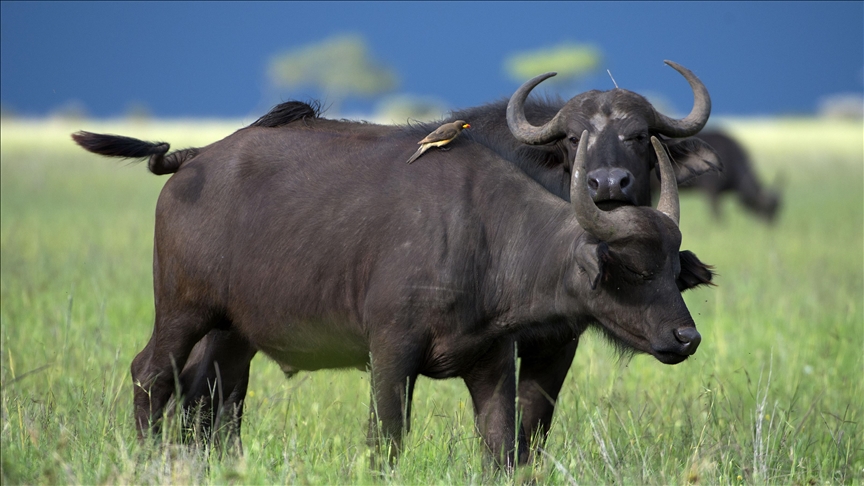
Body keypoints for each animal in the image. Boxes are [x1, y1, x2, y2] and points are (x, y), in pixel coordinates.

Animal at [72, 116, 708, 466]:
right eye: (633, 270)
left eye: (672, 271)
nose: (687, 337)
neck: (484, 235)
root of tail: (194, 158)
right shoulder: (391, 355)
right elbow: (387, 441)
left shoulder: (492, 364)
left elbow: (500, 449)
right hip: (182, 311)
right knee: (152, 374)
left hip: (233, 333)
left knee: (216, 395)